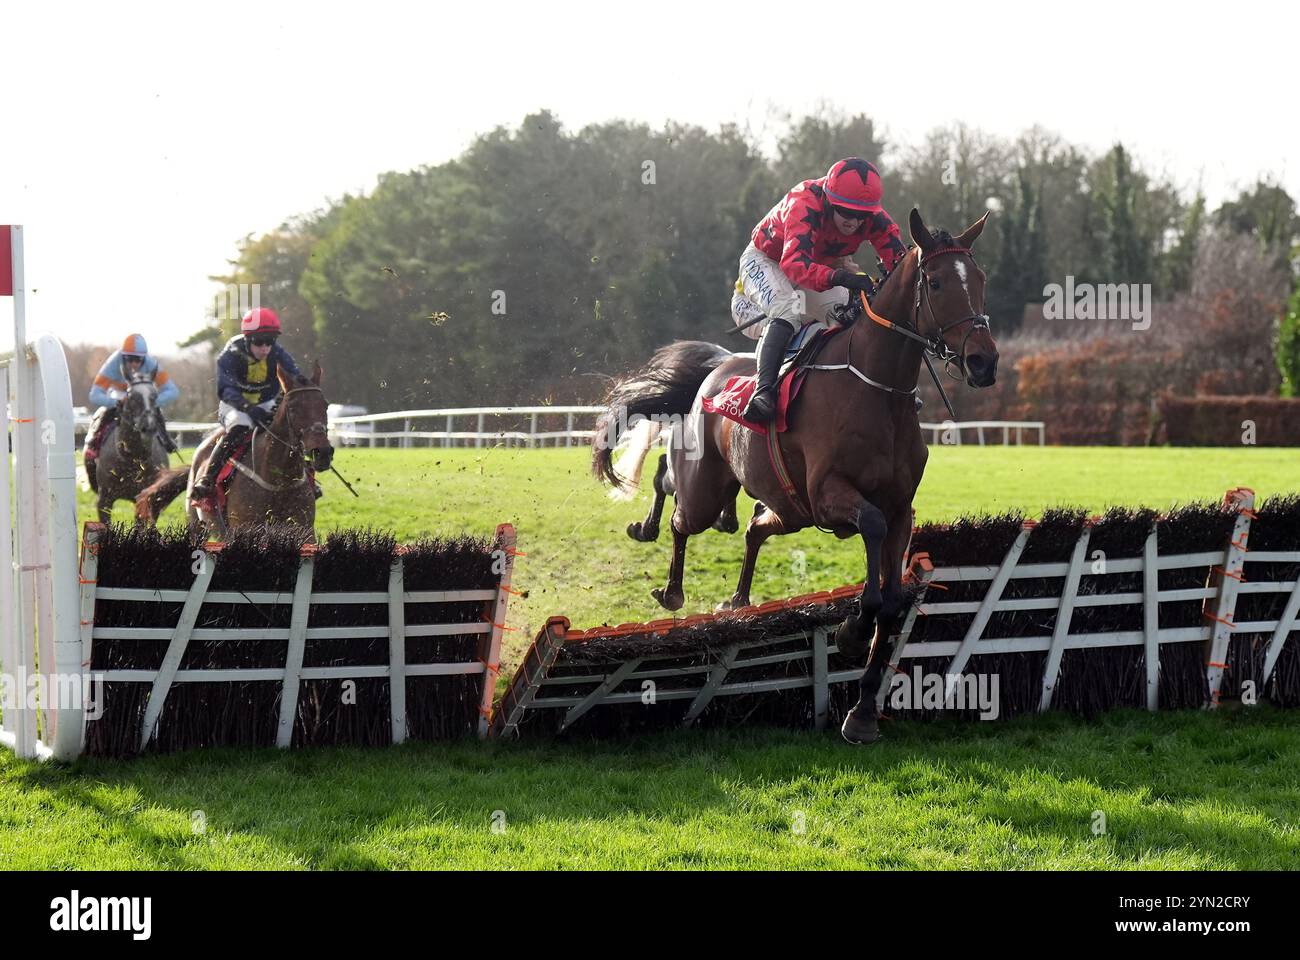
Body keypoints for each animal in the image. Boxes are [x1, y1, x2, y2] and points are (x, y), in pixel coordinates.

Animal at [132, 361, 332, 535]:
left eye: (325, 405)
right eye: (293, 408)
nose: (323, 452)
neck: (278, 482)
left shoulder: (305, 532)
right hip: (196, 524)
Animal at [595, 208, 998, 738]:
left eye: (982, 279)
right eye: (934, 282)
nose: (984, 361)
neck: (877, 389)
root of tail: (718, 366)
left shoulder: (899, 510)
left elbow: (892, 601)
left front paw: (861, 713)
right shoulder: (830, 494)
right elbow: (871, 542)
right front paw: (852, 631)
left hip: (789, 509)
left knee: (752, 527)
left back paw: (737, 598)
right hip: (711, 485)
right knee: (678, 503)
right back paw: (665, 572)